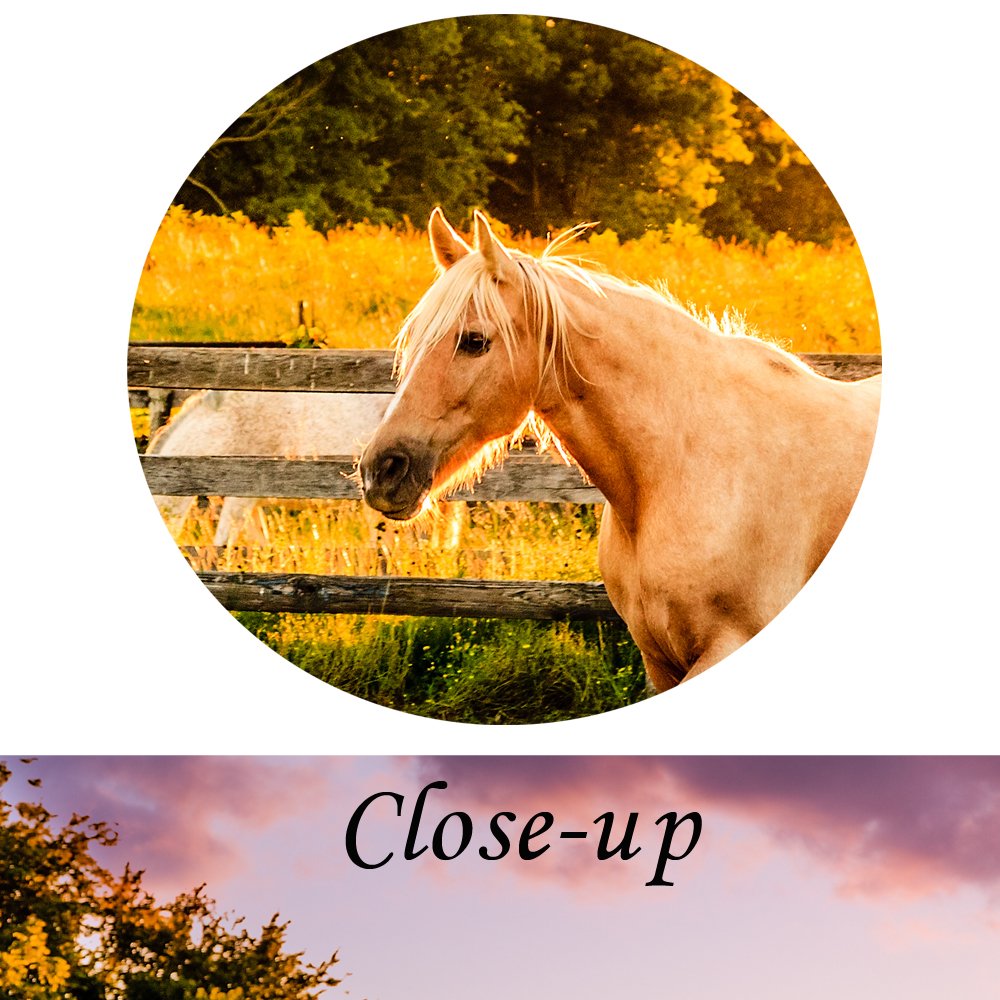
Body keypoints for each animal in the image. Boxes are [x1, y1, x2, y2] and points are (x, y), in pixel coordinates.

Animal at [359, 208, 881, 692]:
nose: (381, 470)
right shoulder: (658, 661)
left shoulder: (726, 645)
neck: (684, 465)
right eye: (413, 340)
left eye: (474, 341)